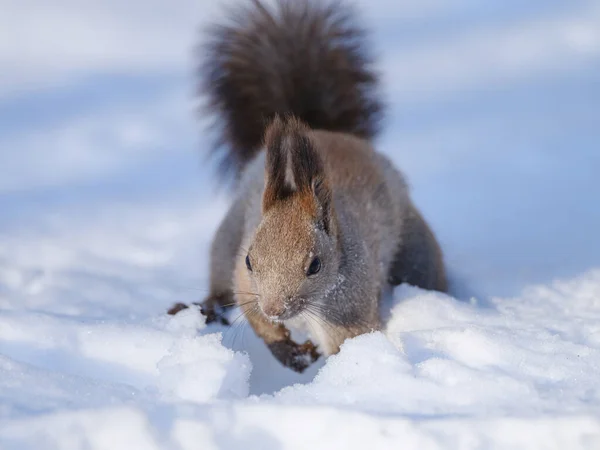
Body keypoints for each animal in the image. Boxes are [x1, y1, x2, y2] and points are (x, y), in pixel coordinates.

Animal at [166, 0, 448, 372]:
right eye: (250, 261)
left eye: (315, 265)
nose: (276, 309)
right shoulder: (245, 281)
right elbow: (256, 319)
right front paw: (289, 352)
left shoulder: (349, 309)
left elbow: (349, 346)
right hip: (226, 238)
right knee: (219, 283)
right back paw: (205, 307)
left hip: (416, 250)